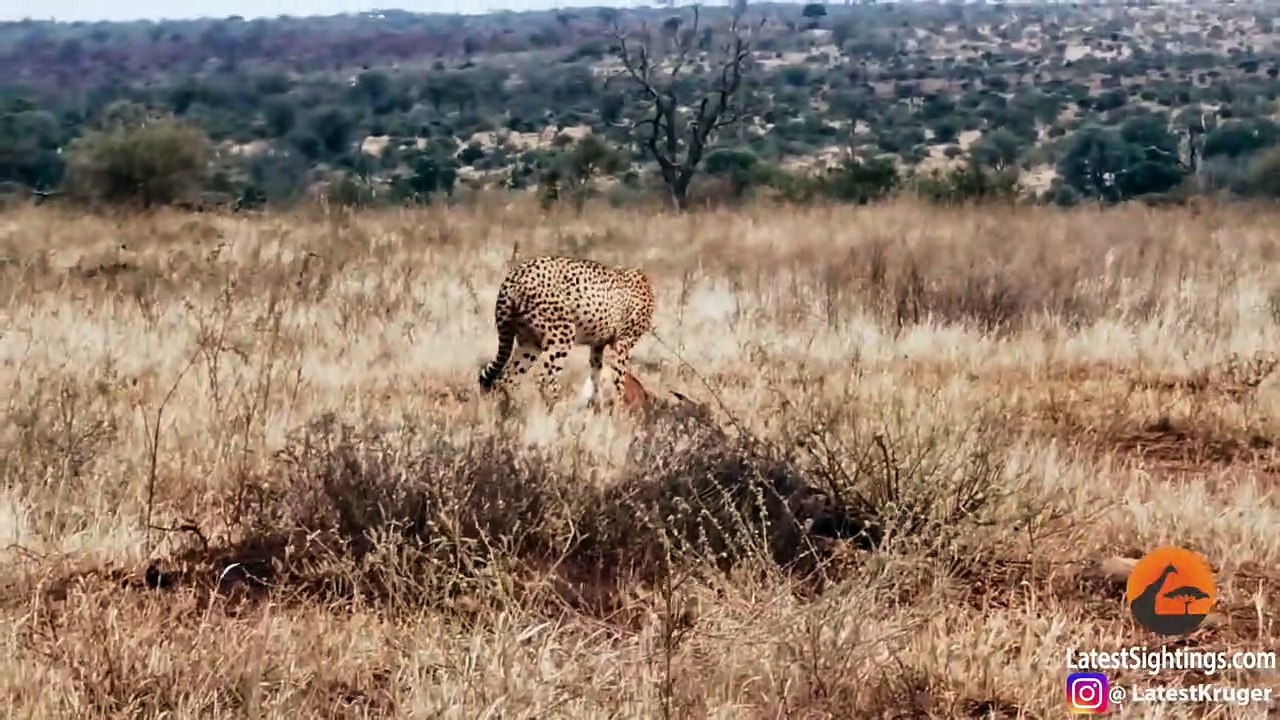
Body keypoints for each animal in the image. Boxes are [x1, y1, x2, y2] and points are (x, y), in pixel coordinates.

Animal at [477, 254, 656, 408]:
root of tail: (515, 274)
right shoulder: (622, 344)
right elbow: (619, 382)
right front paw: (618, 415)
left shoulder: (598, 346)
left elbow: (597, 376)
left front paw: (597, 407)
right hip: (562, 333)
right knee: (545, 380)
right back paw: (555, 411)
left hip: (530, 342)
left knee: (509, 377)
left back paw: (514, 411)